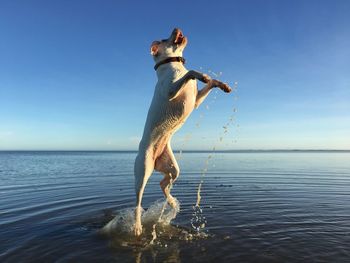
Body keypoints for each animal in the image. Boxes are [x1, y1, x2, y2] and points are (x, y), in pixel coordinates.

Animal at [133, 27, 230, 236]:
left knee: (163, 183)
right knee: (138, 200)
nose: (176, 28)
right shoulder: (170, 90)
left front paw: (222, 85)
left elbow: (210, 84)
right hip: (143, 170)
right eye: (164, 38)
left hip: (172, 166)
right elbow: (191, 73)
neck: (174, 64)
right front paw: (202, 75)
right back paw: (137, 226)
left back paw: (171, 202)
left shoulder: (196, 101)